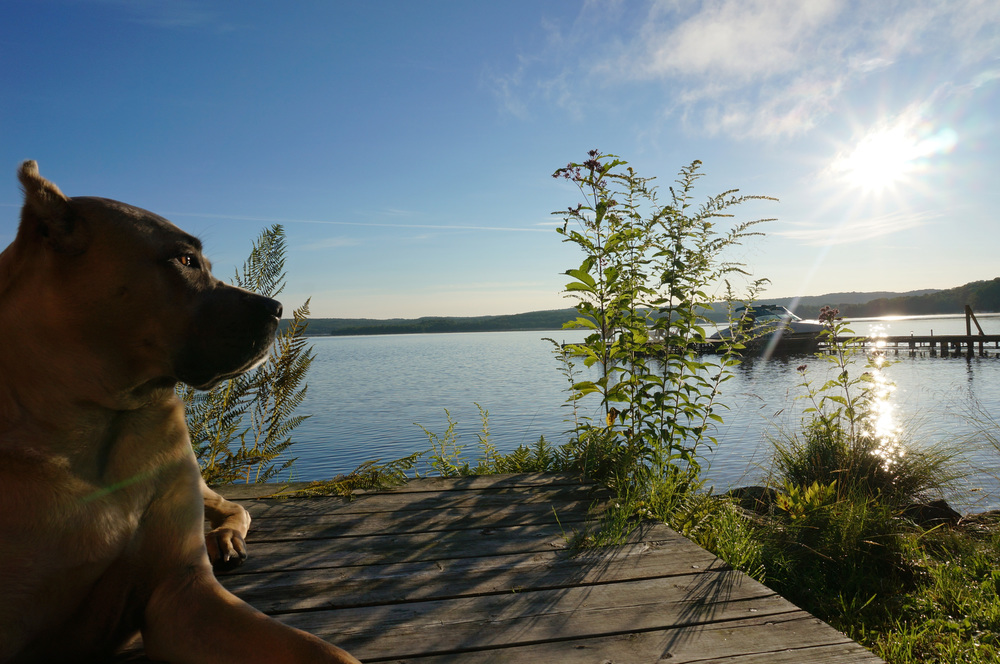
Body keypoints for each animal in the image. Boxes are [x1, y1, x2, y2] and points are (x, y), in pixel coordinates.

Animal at [0, 162, 360, 664]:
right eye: (185, 260)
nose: (277, 308)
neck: (101, 418)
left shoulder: (181, 592)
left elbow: (325, 651)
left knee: (233, 505)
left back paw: (226, 540)